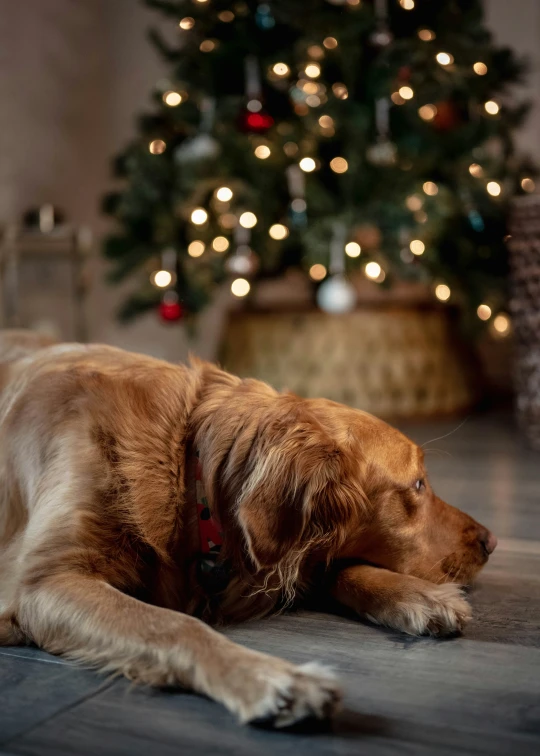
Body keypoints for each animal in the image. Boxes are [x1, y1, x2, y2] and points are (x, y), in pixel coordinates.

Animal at [0, 330, 498, 728]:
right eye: (417, 485)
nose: (491, 542)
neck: (188, 468)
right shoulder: (44, 582)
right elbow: (173, 626)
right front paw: (277, 680)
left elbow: (336, 568)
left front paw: (420, 597)